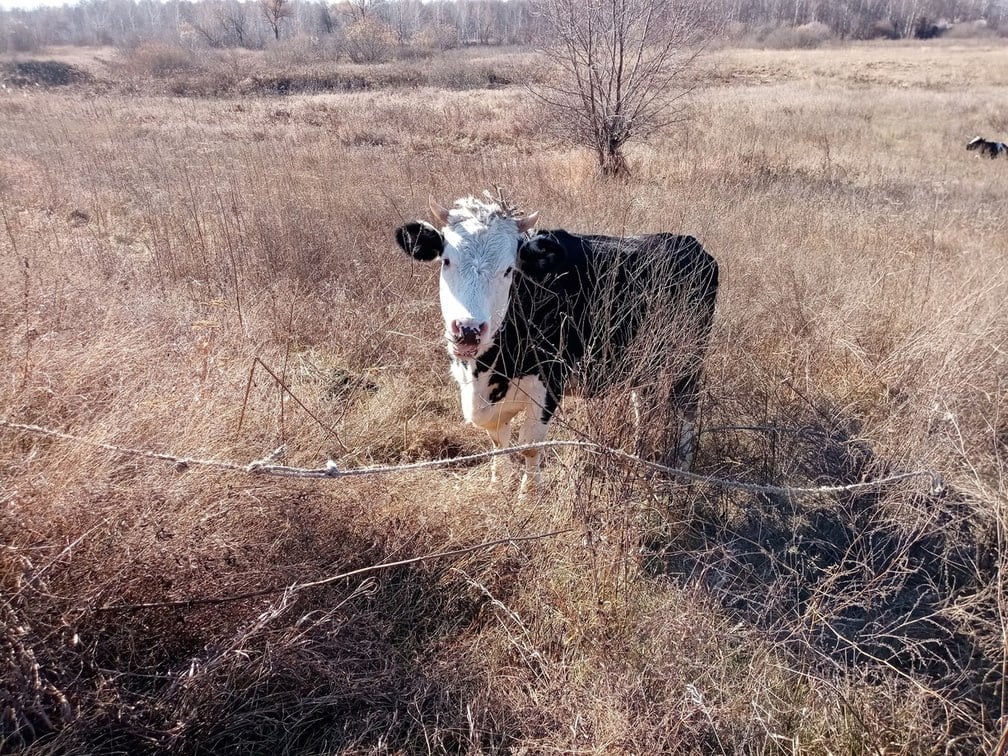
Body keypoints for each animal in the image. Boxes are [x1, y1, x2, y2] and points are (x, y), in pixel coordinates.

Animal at [393, 195, 717, 491]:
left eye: (509, 270)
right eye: (447, 261)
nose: (469, 330)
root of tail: (688, 243)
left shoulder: (549, 382)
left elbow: (529, 445)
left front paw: (529, 495)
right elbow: (498, 439)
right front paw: (498, 483)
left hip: (691, 355)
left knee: (687, 405)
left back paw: (682, 467)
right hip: (643, 360)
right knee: (645, 405)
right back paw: (637, 455)